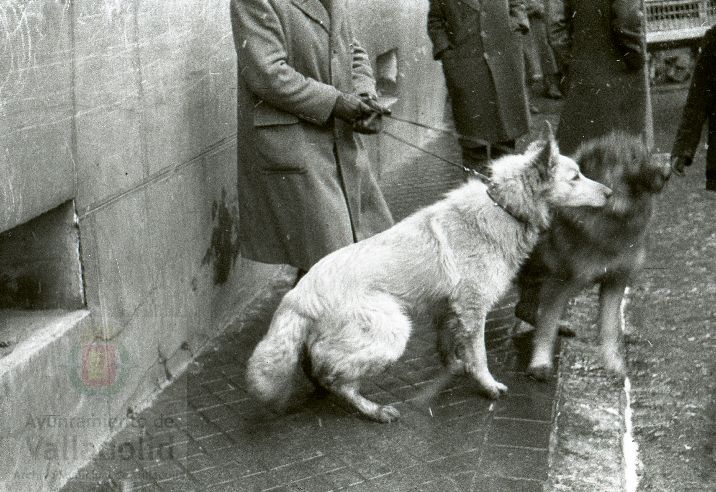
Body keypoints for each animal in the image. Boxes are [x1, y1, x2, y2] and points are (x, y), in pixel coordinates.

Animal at [516, 129, 672, 378]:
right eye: (633, 158)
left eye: (646, 151)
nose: (669, 159)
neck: (610, 213)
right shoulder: (558, 282)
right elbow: (546, 326)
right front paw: (540, 363)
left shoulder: (615, 280)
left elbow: (609, 328)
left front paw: (614, 364)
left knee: (524, 308)